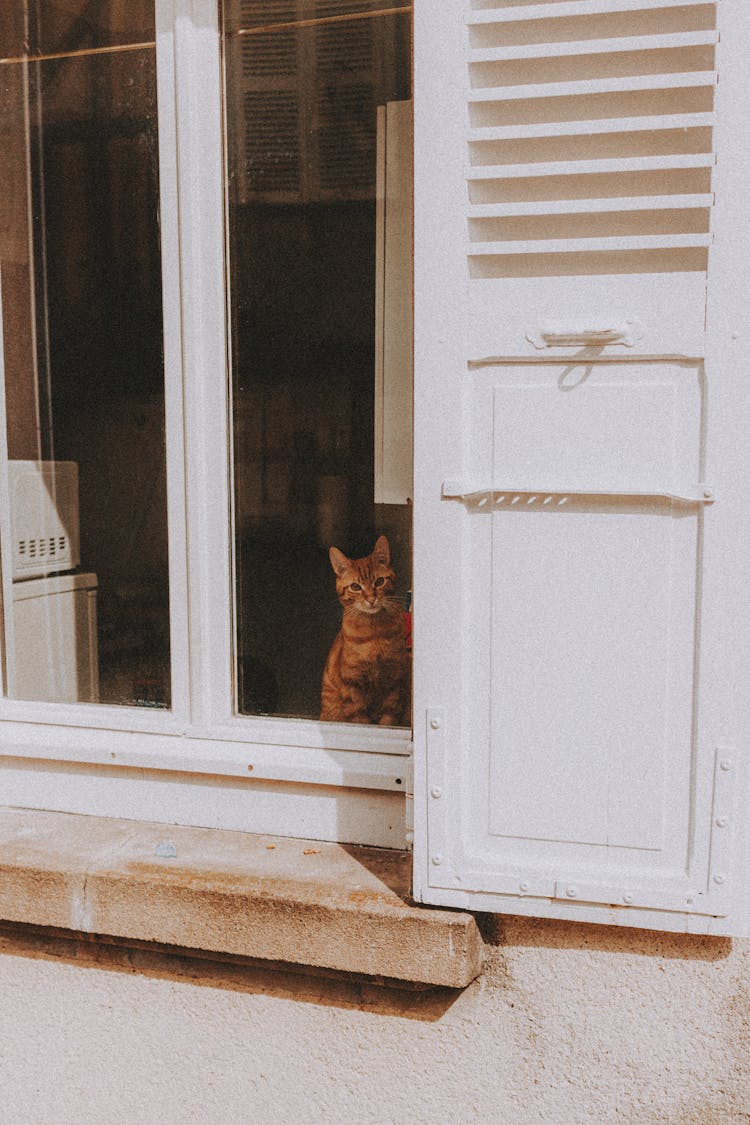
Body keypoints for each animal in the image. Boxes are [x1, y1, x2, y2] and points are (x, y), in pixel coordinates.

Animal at [319, 533, 407, 724]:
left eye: (379, 582)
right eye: (355, 587)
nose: (371, 599)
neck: (374, 633)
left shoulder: (393, 682)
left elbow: (388, 720)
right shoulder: (353, 686)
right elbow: (359, 718)